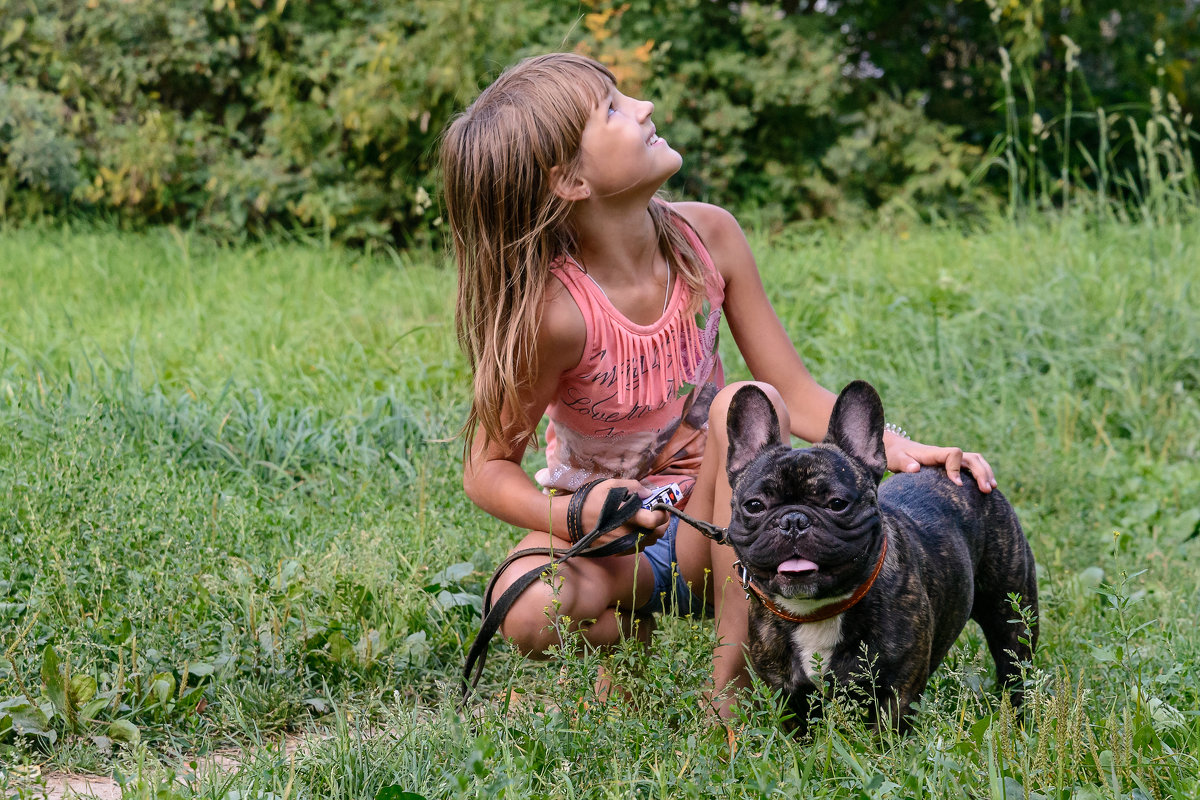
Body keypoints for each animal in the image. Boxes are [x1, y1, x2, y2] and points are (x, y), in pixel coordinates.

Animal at [710, 383, 1041, 734]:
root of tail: (960, 471)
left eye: (837, 503)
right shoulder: (787, 695)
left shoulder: (896, 691)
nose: (793, 521)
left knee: (1015, 671)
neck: (816, 611)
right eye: (755, 506)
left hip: (1012, 616)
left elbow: (885, 737)